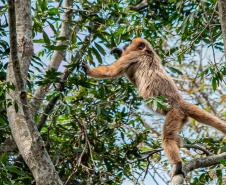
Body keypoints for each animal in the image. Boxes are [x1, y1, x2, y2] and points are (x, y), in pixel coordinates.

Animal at [83, 37, 226, 176]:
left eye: (130, 42)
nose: (126, 44)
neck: (148, 52)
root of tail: (179, 102)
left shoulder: (133, 56)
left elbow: (111, 72)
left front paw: (89, 70)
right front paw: (119, 51)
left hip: (174, 113)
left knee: (167, 138)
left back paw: (178, 164)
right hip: (181, 118)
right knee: (174, 137)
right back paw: (179, 145)